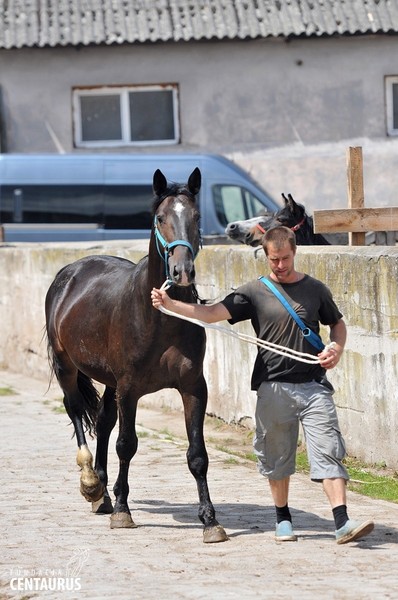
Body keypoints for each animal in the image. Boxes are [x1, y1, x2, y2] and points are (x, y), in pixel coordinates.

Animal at [45, 168, 227, 544]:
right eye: (160, 218)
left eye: (197, 217)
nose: (182, 272)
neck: (160, 317)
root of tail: (70, 272)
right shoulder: (129, 388)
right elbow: (126, 444)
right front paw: (122, 511)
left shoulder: (193, 387)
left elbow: (197, 455)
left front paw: (210, 520)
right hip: (66, 366)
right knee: (76, 411)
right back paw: (90, 482)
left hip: (109, 381)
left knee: (102, 421)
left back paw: (101, 492)